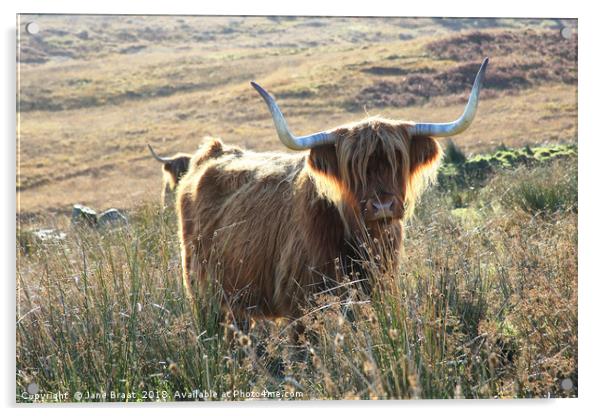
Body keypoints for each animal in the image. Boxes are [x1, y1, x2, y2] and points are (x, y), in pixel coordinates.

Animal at [175, 57, 488, 322]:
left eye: (398, 160)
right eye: (351, 167)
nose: (382, 206)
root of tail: (212, 152)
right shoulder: (300, 303)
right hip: (203, 292)